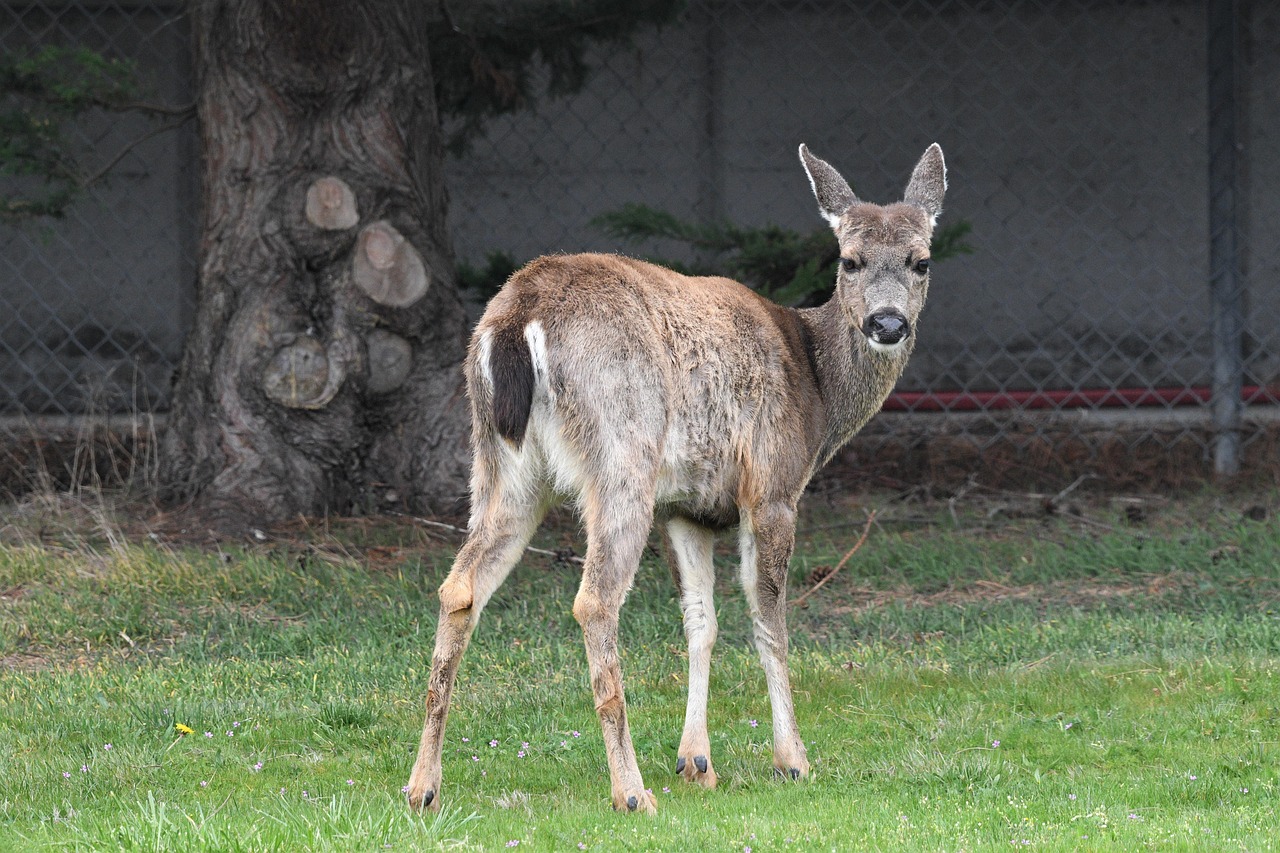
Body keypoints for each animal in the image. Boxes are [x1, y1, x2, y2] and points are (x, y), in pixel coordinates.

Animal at [406, 142, 947, 814]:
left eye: (922, 260)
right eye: (850, 259)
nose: (888, 324)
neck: (818, 385)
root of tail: (517, 318)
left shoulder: (688, 508)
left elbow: (700, 622)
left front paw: (697, 762)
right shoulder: (771, 487)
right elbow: (769, 619)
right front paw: (792, 759)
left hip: (501, 464)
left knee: (459, 587)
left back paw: (422, 786)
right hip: (622, 453)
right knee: (595, 600)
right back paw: (631, 791)